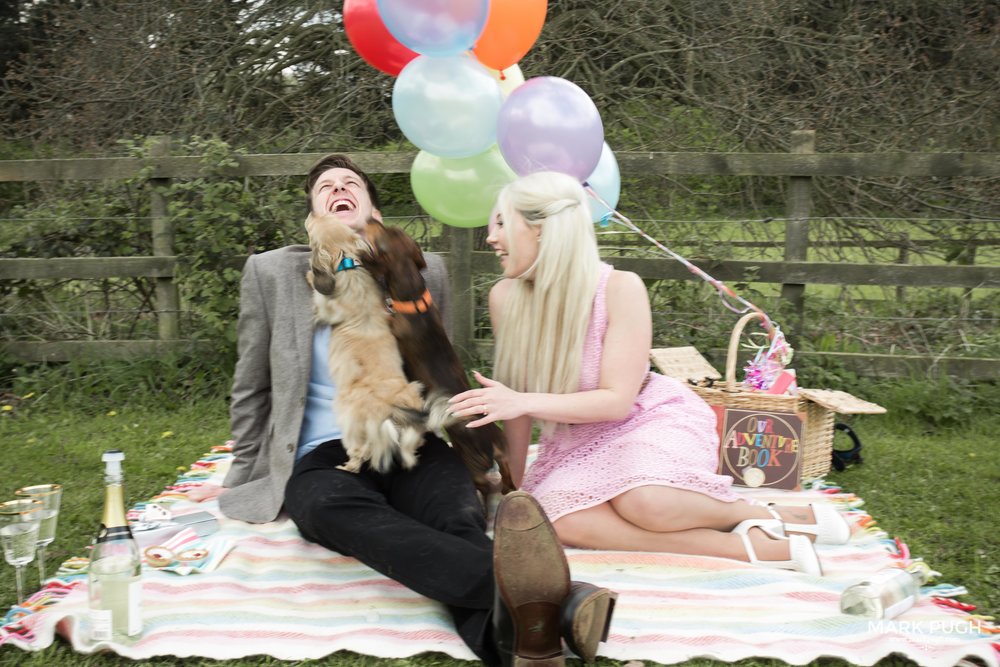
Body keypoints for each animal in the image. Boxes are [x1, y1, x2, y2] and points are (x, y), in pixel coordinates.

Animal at [304, 215, 430, 474]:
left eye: (313, 226)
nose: (311, 214)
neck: (348, 262)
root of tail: (391, 410)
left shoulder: (324, 307)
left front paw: (309, 276)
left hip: (346, 415)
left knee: (359, 453)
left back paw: (346, 466)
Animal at [360, 222, 516, 498]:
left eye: (382, 230)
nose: (371, 220)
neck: (413, 301)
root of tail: (493, 445)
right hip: (504, 453)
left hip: (472, 463)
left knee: (486, 486)